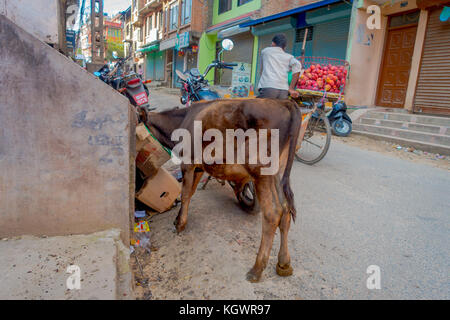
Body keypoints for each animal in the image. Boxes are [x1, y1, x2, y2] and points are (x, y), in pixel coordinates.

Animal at [144, 98, 302, 282]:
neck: (182, 120)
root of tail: (284, 102)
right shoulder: (199, 167)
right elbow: (191, 192)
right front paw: (179, 219)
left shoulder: (188, 162)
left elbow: (185, 194)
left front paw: (179, 224)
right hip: (277, 172)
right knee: (285, 210)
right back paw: (284, 263)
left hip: (260, 169)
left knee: (273, 213)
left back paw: (256, 269)